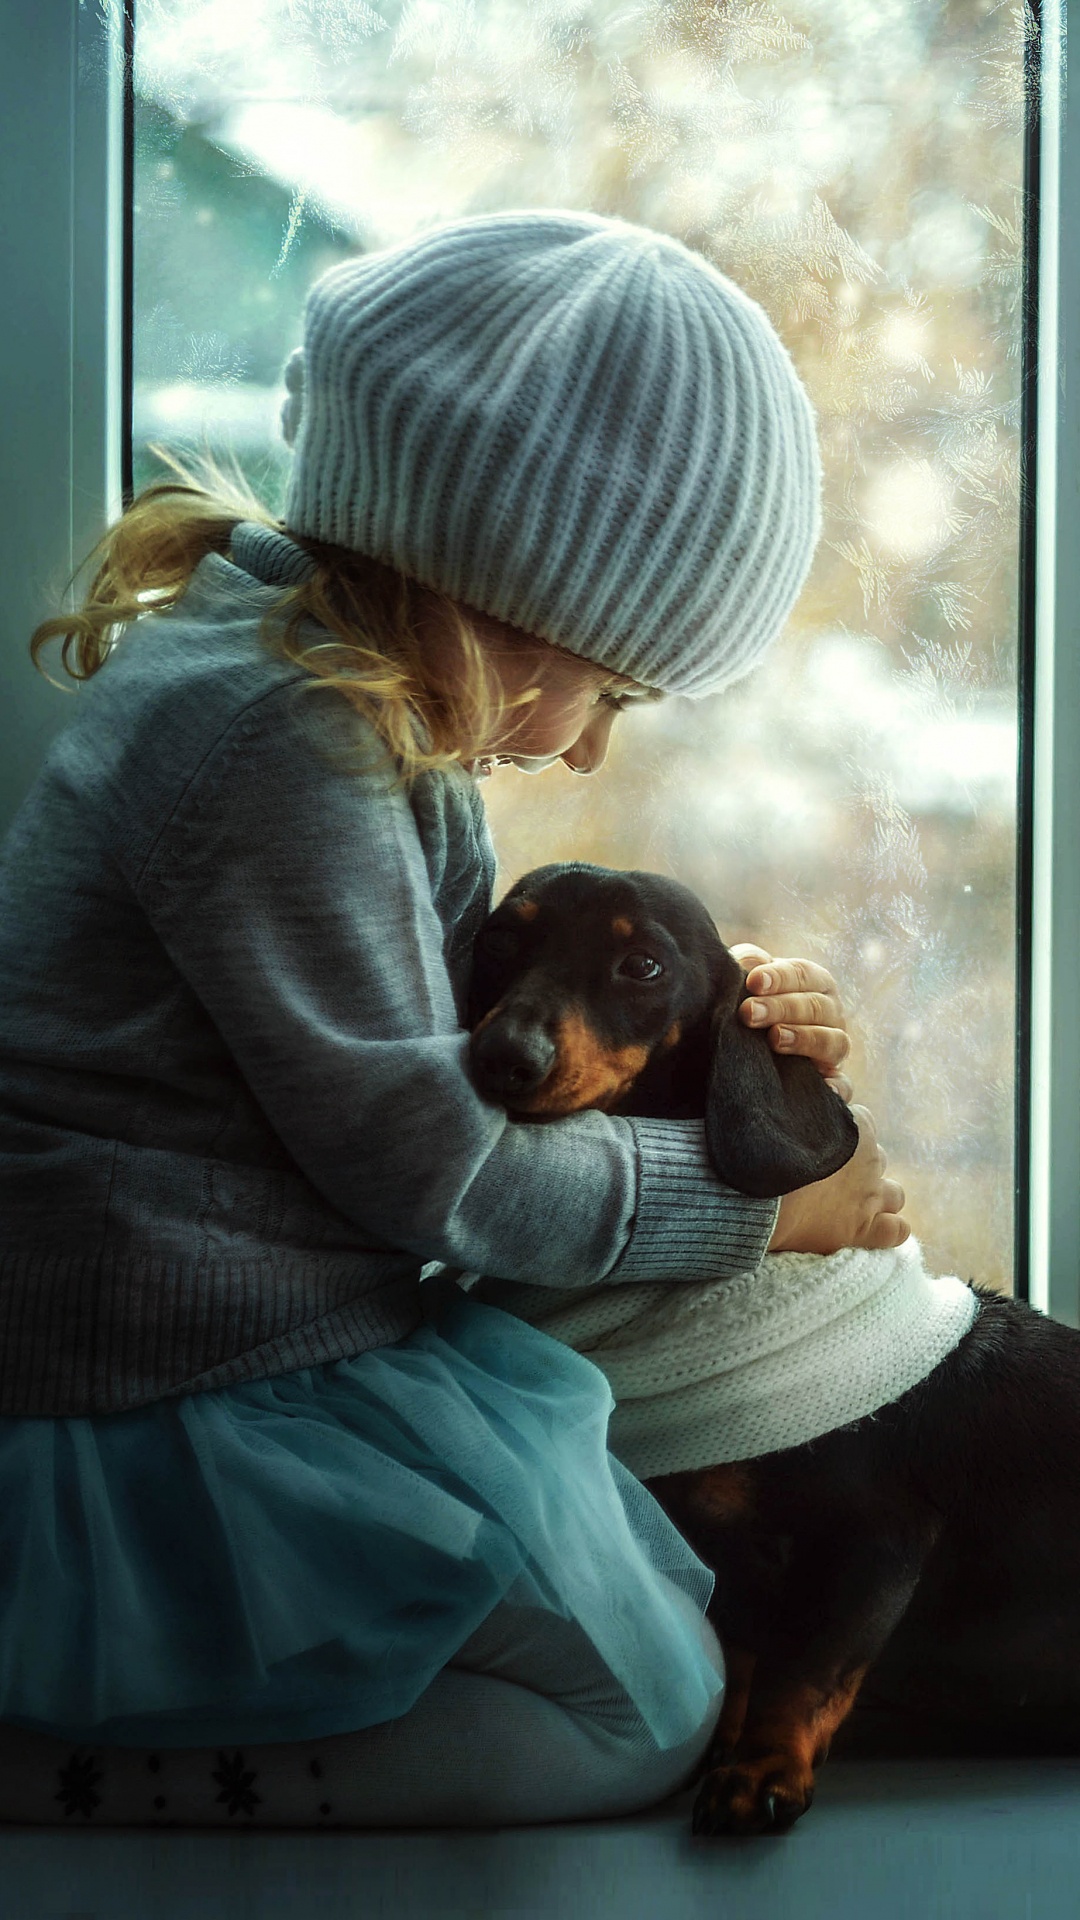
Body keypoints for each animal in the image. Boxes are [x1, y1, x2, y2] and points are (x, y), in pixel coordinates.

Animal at [466, 864, 1076, 1835]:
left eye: (642, 964)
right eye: (499, 941)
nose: (501, 1059)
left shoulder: (872, 1538)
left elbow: (804, 1667)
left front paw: (760, 1772)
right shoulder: (731, 1566)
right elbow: (749, 1660)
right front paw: (730, 1751)